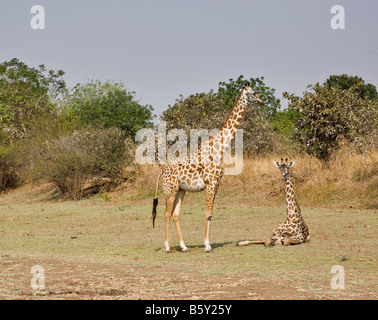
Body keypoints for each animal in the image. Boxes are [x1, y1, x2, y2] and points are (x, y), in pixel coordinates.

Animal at [152, 85, 264, 252]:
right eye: (253, 93)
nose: (262, 101)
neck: (219, 149)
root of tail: (162, 172)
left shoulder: (216, 184)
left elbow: (210, 213)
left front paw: (206, 244)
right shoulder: (210, 183)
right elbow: (208, 213)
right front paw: (207, 246)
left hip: (180, 190)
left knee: (175, 214)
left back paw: (184, 247)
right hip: (169, 189)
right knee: (166, 213)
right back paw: (167, 247)